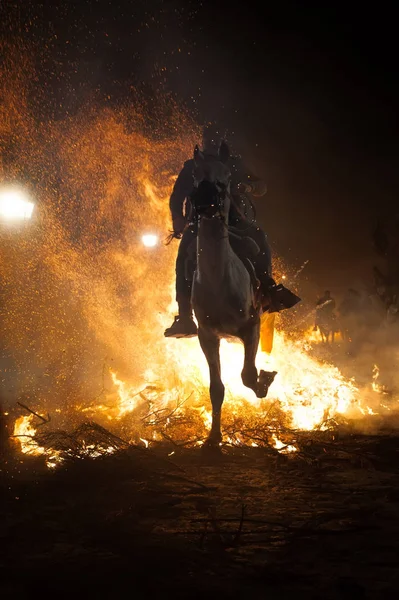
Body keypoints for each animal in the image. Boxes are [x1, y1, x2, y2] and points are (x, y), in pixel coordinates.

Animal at [190, 143, 282, 448]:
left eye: (228, 176)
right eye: (195, 174)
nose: (205, 201)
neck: (221, 282)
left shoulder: (250, 329)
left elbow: (248, 375)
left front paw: (265, 381)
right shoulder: (208, 337)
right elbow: (216, 388)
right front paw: (213, 440)